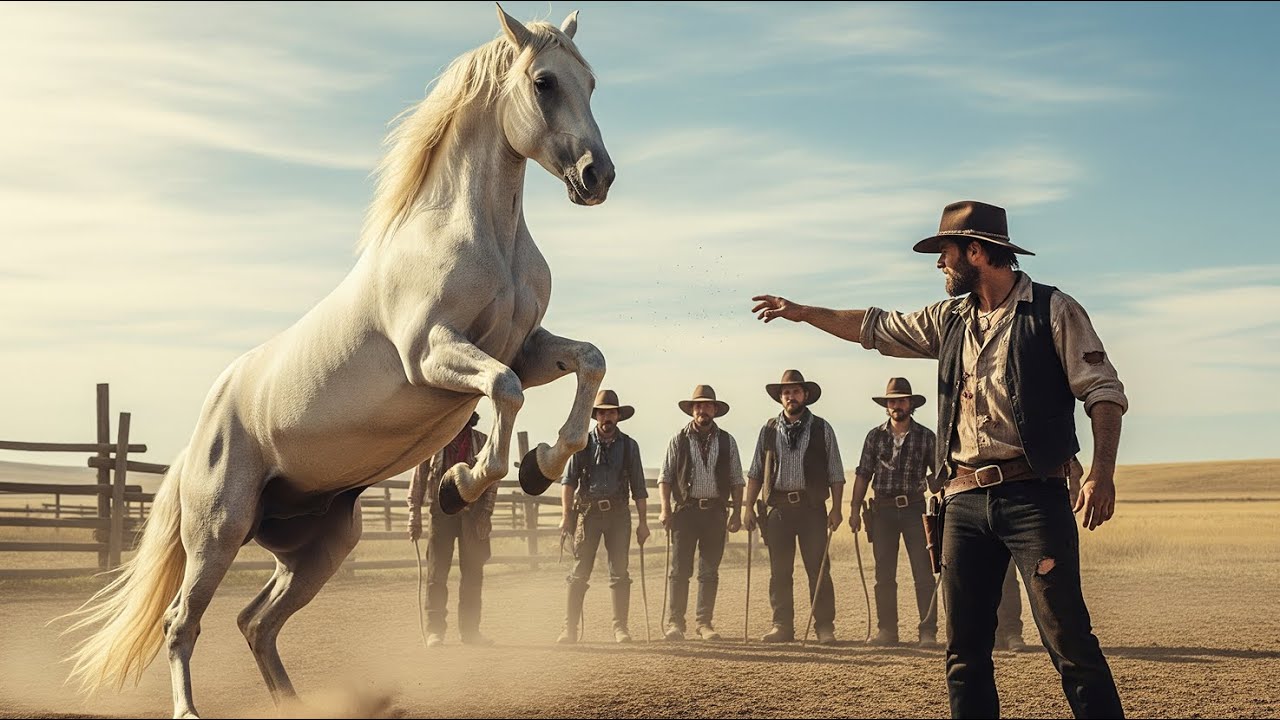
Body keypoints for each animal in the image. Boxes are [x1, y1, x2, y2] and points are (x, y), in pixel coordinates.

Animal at [61, 7, 614, 718]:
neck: (480, 235)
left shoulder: (528, 344)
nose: (597, 176)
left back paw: (297, 702)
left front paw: (540, 465)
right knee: (182, 621)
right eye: (544, 82)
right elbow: (506, 391)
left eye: (591, 83)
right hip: (217, 534)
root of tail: (197, 440)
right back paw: (189, 709)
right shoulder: (433, 353)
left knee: (256, 622)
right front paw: (460, 484)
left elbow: (588, 362)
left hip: (319, 549)